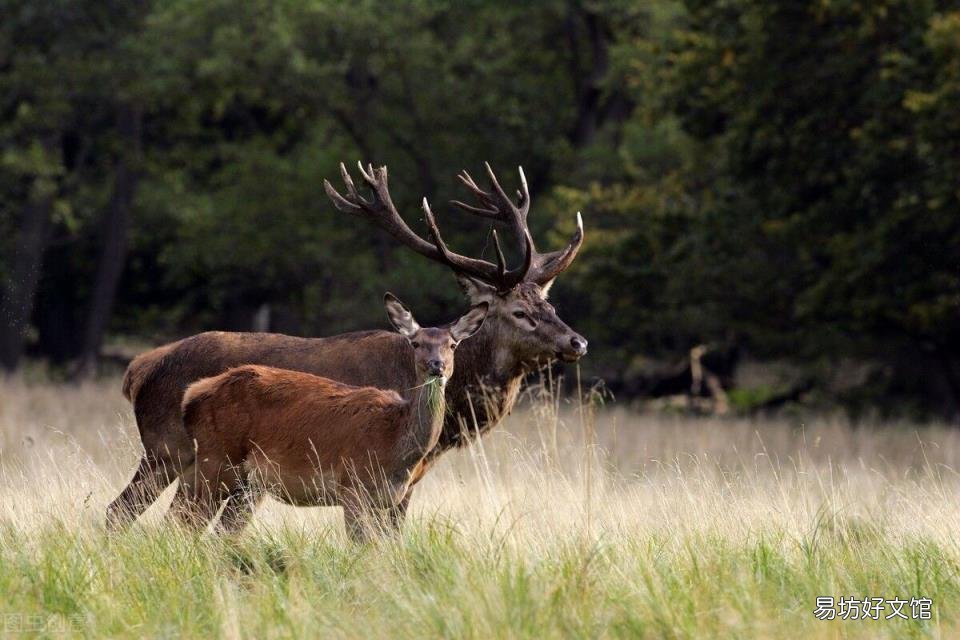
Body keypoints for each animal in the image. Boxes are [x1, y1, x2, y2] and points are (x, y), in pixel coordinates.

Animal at [175, 298, 484, 536]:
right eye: (416, 343)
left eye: (453, 344)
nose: (437, 365)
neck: (394, 444)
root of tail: (191, 394)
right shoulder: (352, 486)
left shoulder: (385, 501)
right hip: (217, 459)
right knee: (185, 520)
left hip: (243, 481)